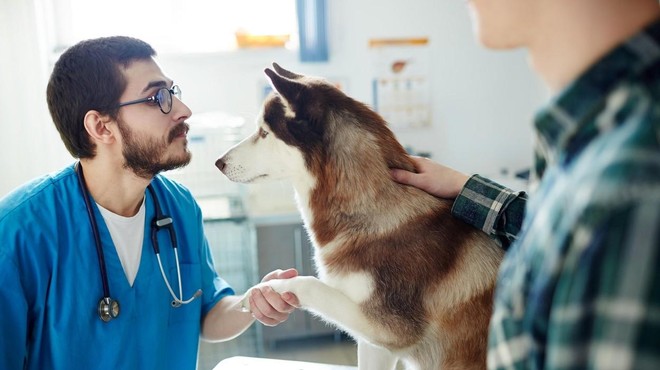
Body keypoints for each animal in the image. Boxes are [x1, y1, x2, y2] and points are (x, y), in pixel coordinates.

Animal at [217, 64, 500, 370]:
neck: (371, 211)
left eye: (264, 133)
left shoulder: (390, 329)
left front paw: (269, 288)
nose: (219, 162)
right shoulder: (374, 343)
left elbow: (310, 283)